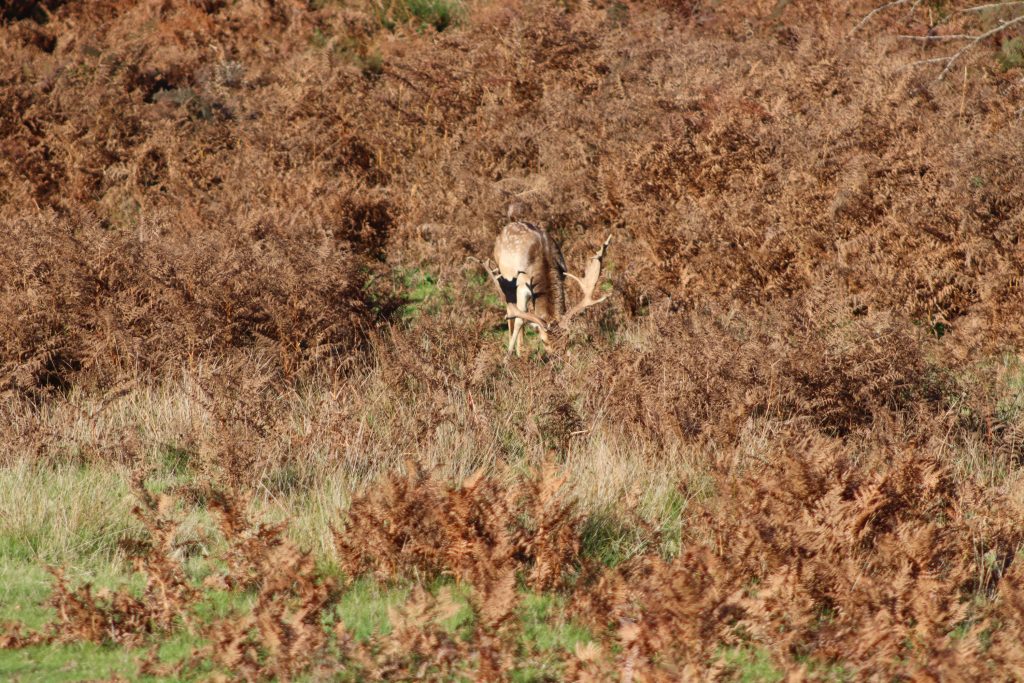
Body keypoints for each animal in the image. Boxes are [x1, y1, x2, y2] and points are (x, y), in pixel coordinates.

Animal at [482, 221, 612, 357]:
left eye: (567, 339)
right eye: (543, 340)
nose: (556, 357)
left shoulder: (562, 276)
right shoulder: (522, 285)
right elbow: (520, 318)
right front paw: (510, 356)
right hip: (505, 276)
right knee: (510, 309)